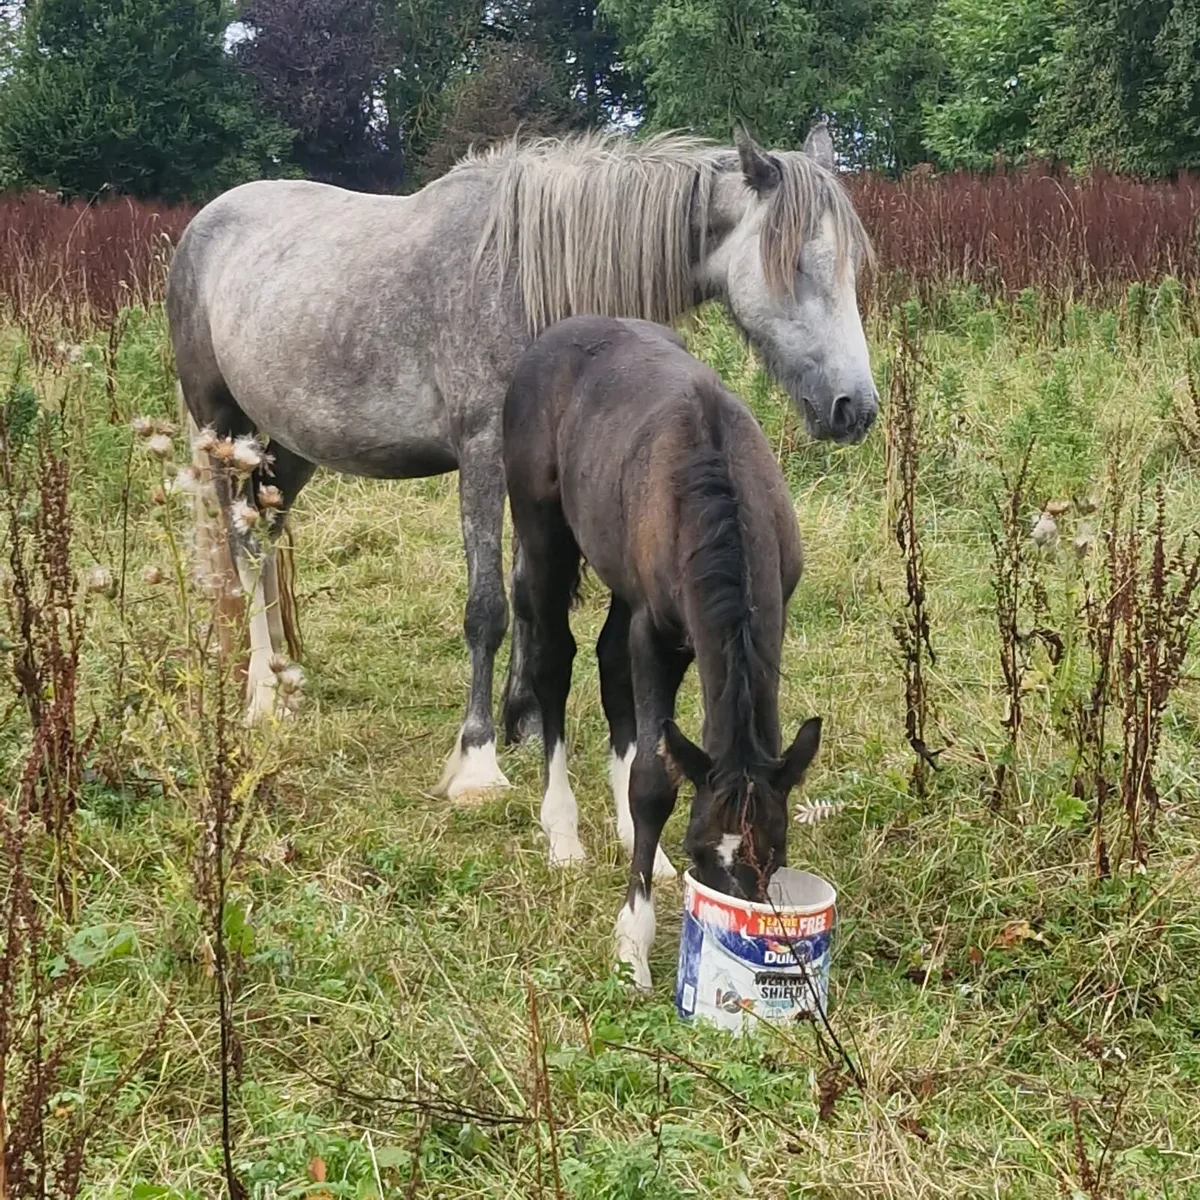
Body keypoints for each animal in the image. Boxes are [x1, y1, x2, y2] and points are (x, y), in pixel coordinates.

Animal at [165, 122, 874, 799]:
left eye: (850, 268)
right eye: (795, 266)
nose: (855, 407)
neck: (526, 279)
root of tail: (206, 223)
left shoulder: (529, 472)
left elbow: (527, 593)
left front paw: (527, 720)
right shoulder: (482, 456)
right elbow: (488, 608)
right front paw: (477, 758)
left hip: (289, 449)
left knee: (266, 538)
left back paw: (282, 674)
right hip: (222, 429)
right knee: (241, 548)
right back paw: (260, 695)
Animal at [504, 315, 824, 990]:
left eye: (775, 853)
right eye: (700, 847)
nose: (739, 904)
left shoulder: (769, 615)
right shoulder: (656, 632)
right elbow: (654, 782)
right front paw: (633, 943)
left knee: (607, 662)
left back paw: (630, 842)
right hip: (543, 533)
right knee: (553, 661)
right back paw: (562, 834)